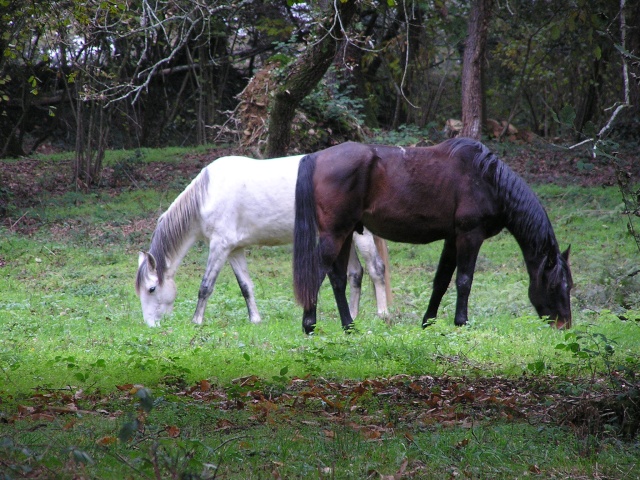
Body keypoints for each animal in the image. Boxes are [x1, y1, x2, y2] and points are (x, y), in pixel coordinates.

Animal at [135, 154, 390, 326]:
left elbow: (205, 287)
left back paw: (382, 314)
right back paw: (353, 315)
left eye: (151, 289)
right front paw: (255, 319)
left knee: (376, 269)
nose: (151, 326)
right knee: (356, 273)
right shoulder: (234, 250)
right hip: (343, 235)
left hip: (361, 235)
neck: (206, 196)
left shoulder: (219, 246)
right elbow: (246, 286)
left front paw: (196, 321)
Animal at [292, 137, 572, 334]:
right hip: (335, 234)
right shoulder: (470, 235)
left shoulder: (452, 239)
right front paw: (461, 322)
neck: (488, 179)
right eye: (555, 285)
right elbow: (464, 280)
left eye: (569, 285)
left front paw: (428, 322)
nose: (564, 326)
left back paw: (348, 326)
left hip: (346, 234)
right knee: (317, 273)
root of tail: (316, 157)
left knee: (337, 278)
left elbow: (441, 281)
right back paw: (309, 325)